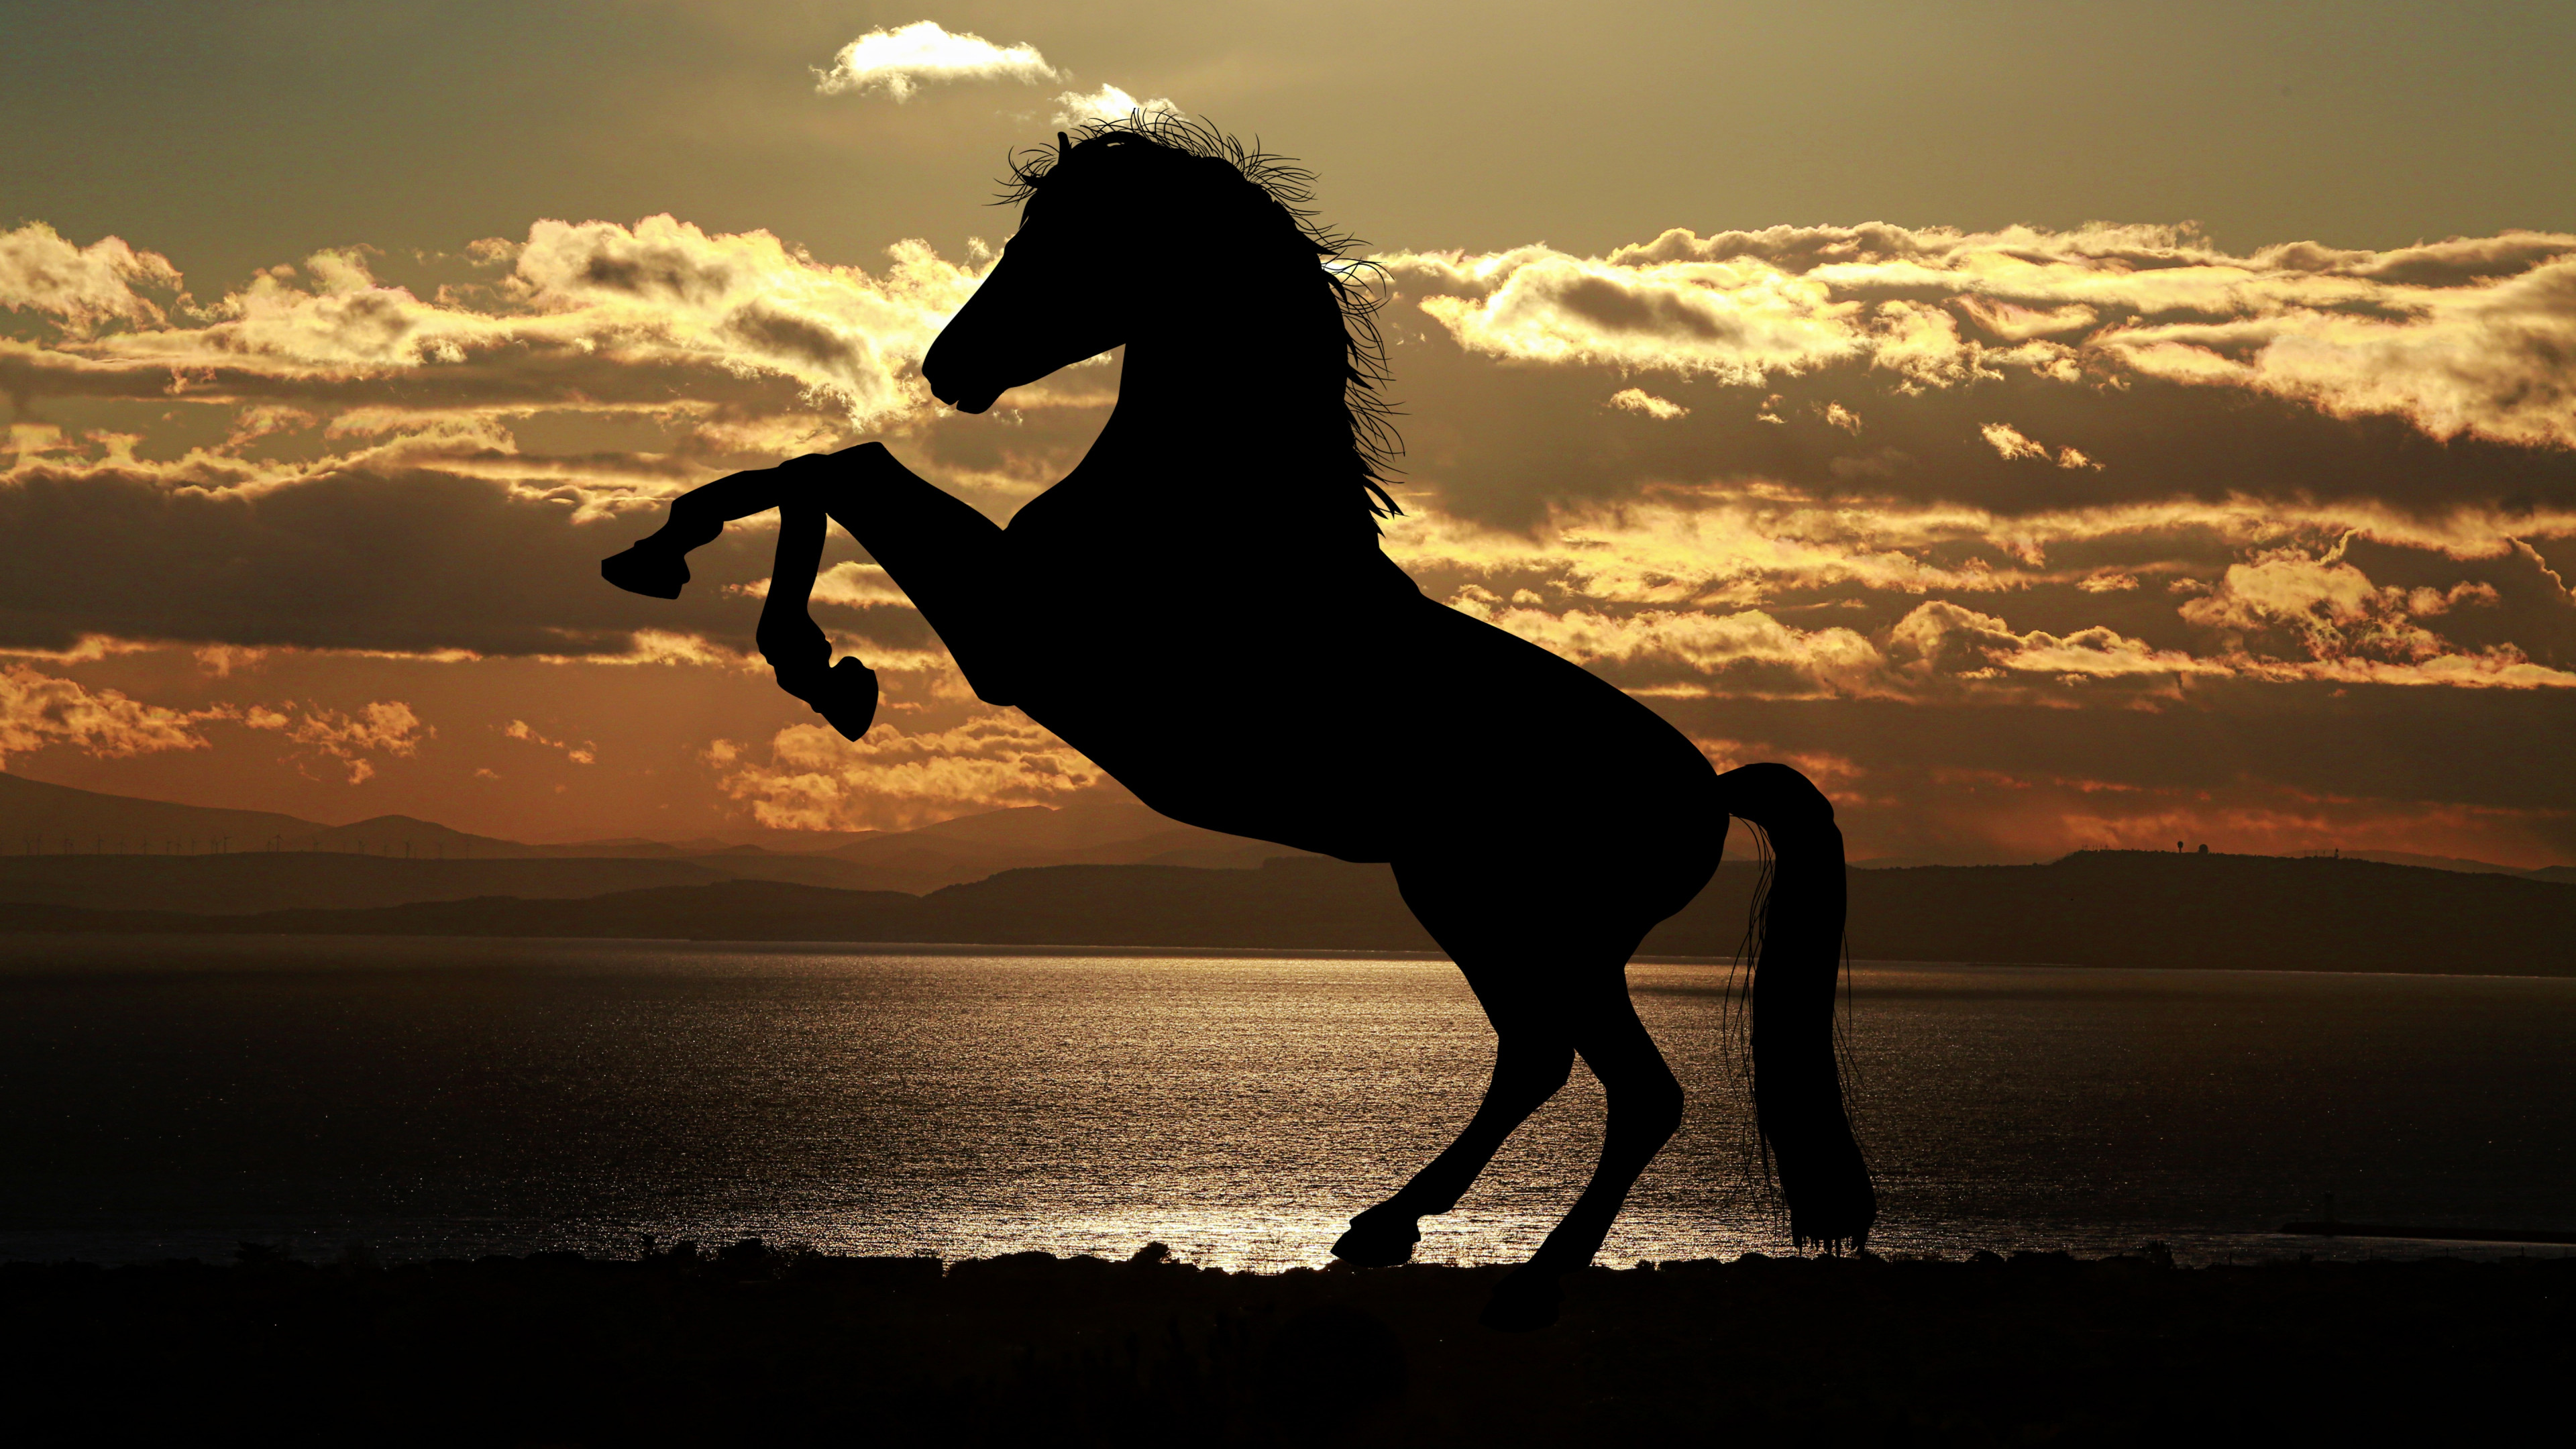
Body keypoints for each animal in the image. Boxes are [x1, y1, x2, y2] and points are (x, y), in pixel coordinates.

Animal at [600, 116, 1873, 1329]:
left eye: (1069, 241)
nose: (948, 366)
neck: (1212, 508)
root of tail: (1710, 789)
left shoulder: (1013, 636)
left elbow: (840, 467)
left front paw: (805, 657)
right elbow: (820, 465)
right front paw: (683, 570)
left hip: (1543, 926)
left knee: (1633, 1091)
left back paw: (1525, 1285)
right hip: (1472, 906)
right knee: (1536, 1059)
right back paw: (1384, 1228)